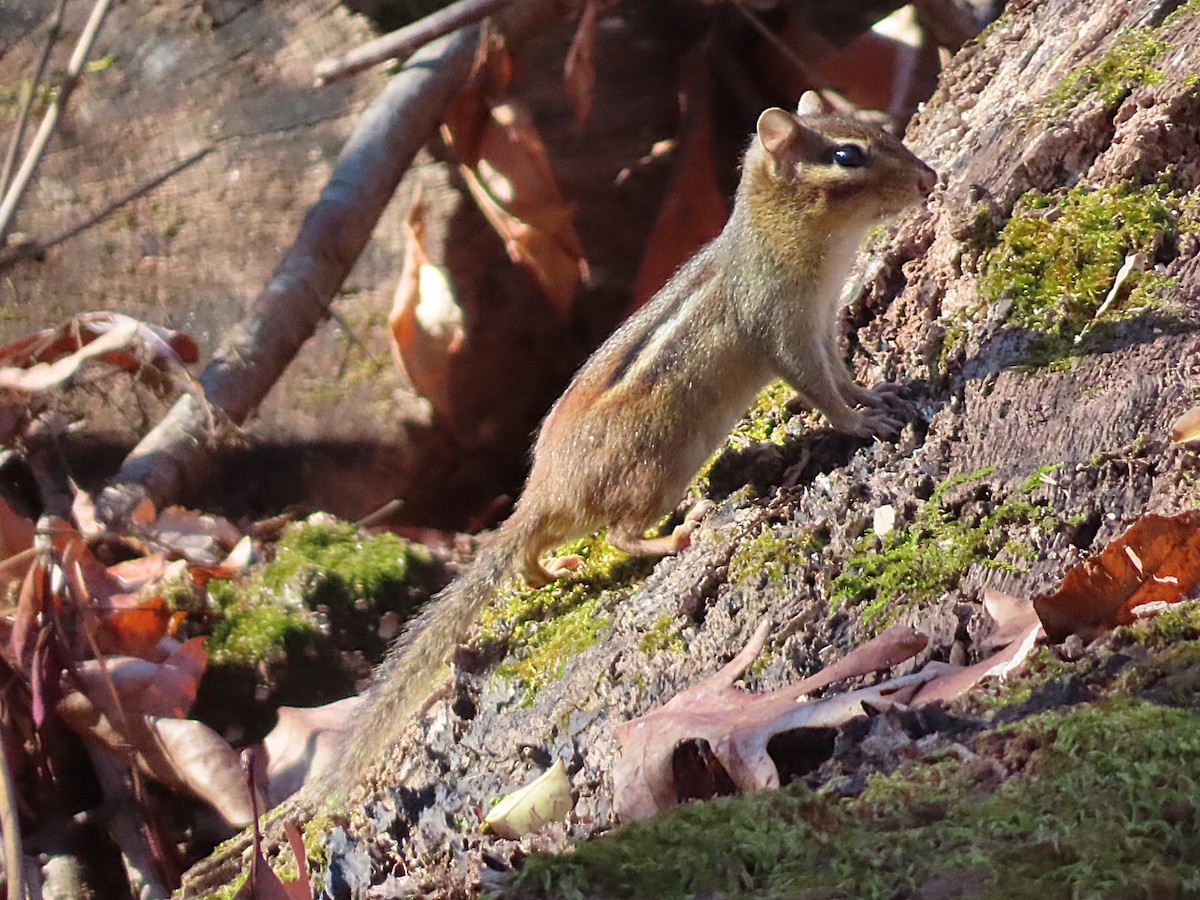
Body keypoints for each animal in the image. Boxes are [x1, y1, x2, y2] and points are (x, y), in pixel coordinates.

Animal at [332, 92, 936, 791]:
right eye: (847, 154)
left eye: (872, 132)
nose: (929, 180)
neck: (787, 238)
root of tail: (544, 489)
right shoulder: (784, 330)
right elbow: (820, 391)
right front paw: (861, 424)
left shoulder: (821, 323)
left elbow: (842, 375)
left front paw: (878, 394)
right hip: (660, 468)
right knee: (618, 532)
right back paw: (673, 536)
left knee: (534, 549)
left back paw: (551, 566)